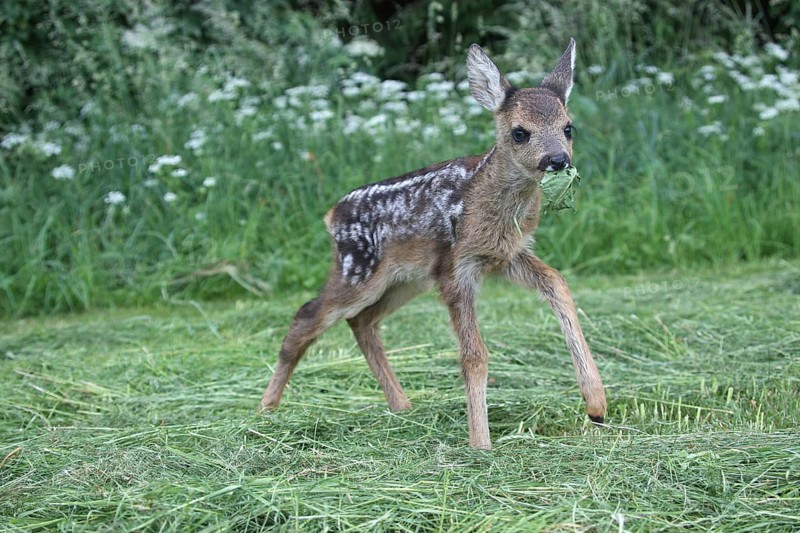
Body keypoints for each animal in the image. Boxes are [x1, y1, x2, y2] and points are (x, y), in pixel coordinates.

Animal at [260, 39, 606, 449]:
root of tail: (331, 216)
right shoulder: (456, 268)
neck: (485, 205)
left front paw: (596, 404)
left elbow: (557, 282)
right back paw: (265, 409)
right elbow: (474, 356)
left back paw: (402, 405)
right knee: (309, 314)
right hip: (358, 271)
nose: (557, 159)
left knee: (362, 321)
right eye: (520, 132)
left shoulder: (507, 257)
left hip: (407, 280)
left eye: (568, 127)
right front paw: (481, 443)